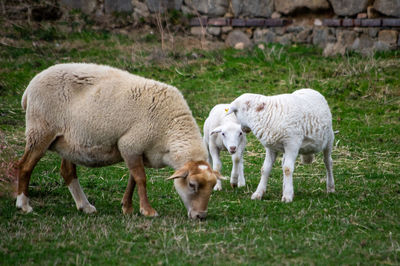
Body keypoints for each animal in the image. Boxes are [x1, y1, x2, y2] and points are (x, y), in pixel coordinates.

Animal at [16, 62, 222, 220]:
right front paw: (147, 210)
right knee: (24, 166)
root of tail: (29, 88)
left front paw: (127, 207)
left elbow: (133, 179)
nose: (201, 216)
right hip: (41, 130)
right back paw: (23, 205)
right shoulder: (130, 144)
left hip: (67, 141)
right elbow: (141, 179)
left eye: (212, 187)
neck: (170, 128)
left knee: (67, 171)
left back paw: (85, 206)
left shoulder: (136, 150)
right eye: (192, 185)